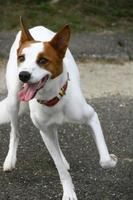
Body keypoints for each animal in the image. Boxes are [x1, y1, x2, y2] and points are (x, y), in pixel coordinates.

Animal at [0, 18, 117, 199]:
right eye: (22, 58)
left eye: (43, 60)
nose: (23, 75)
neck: (54, 99)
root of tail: (36, 27)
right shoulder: (44, 132)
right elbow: (60, 169)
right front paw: (69, 193)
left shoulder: (92, 117)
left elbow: (104, 160)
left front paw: (112, 160)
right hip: (13, 100)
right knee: (15, 132)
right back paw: (10, 160)